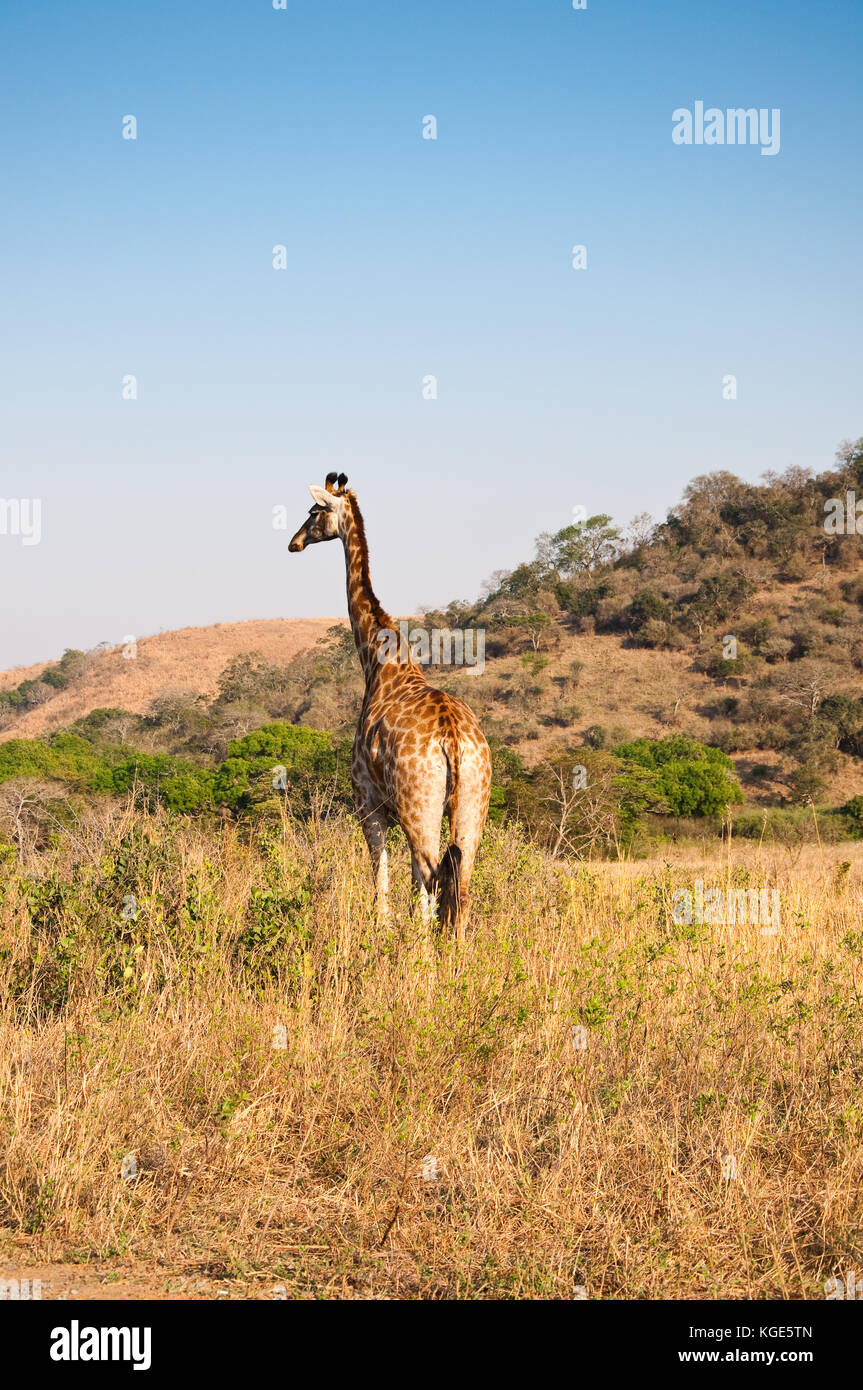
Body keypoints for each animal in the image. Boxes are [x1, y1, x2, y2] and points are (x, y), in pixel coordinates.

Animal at [289, 472, 491, 939]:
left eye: (314, 512)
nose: (294, 543)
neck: (378, 660)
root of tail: (453, 740)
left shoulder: (368, 801)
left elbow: (380, 881)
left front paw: (381, 936)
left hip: (421, 807)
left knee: (432, 877)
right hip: (473, 805)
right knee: (460, 882)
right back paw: (455, 951)